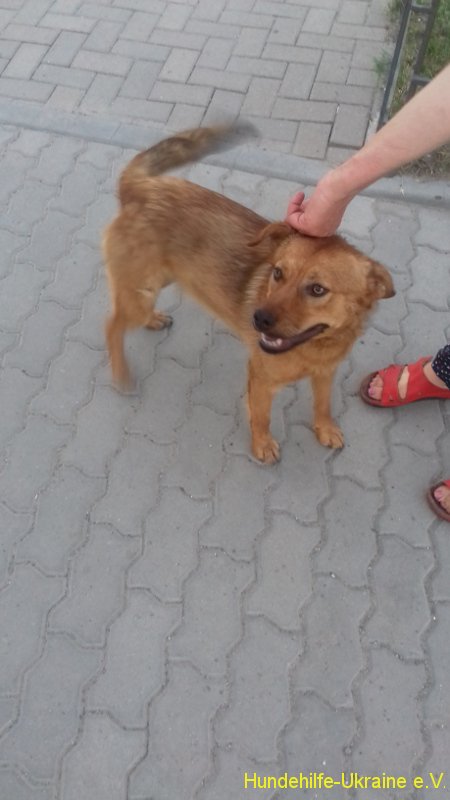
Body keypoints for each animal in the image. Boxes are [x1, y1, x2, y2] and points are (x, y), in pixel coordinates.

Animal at [103, 125, 394, 464]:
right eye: (277, 273)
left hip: (158, 281)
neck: (316, 347)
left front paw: (325, 428)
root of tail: (141, 186)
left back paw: (153, 320)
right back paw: (121, 372)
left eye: (317, 289)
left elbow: (323, 404)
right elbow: (262, 416)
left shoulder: (325, 374)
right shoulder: (262, 379)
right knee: (112, 325)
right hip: (142, 289)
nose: (258, 319)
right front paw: (262, 444)